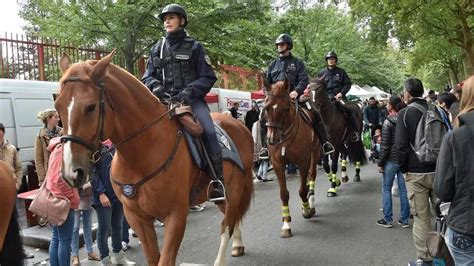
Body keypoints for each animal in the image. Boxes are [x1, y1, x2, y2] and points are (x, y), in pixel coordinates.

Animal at [54, 51, 256, 264]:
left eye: (91, 107)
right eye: (57, 106)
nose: (71, 172)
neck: (140, 156)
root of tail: (239, 125)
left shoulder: (175, 216)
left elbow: (165, 259)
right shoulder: (136, 217)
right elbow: (153, 257)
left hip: (234, 189)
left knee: (227, 224)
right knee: (232, 218)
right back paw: (237, 245)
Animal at [264, 79, 320, 237]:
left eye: (284, 108)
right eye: (266, 108)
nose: (272, 139)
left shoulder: (303, 162)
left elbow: (302, 190)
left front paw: (307, 210)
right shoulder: (278, 164)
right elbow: (284, 194)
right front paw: (286, 224)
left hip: (315, 152)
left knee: (311, 175)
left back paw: (310, 202)